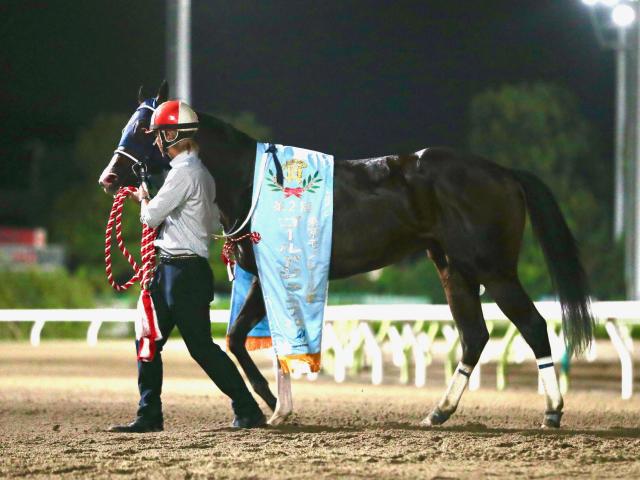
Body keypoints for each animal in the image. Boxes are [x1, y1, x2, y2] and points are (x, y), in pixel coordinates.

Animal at [100, 81, 596, 428]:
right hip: (453, 269)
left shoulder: (269, 272)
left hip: (493, 268)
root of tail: (504, 172)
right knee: (475, 335)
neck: (252, 179)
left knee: (532, 324)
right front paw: (278, 406)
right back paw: (439, 411)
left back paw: (553, 410)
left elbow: (238, 341)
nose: (110, 177)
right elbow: (249, 339)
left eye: (143, 128)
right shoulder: (266, 276)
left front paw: (266, 402)